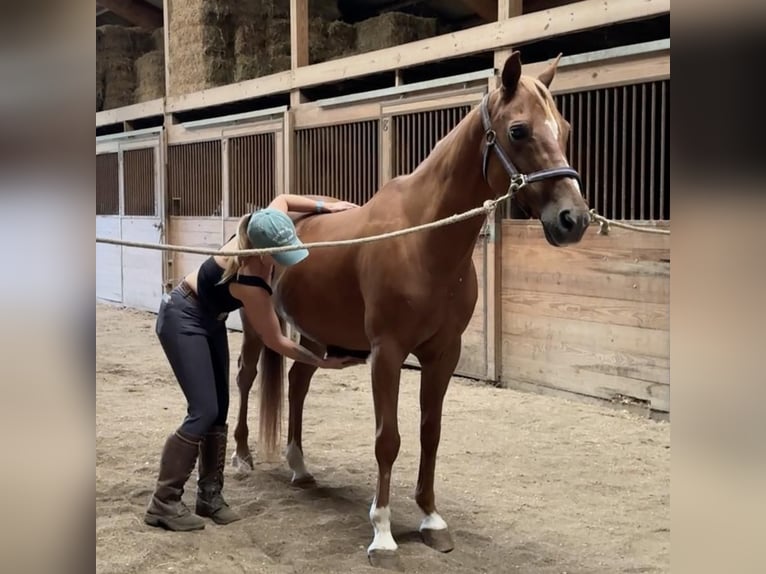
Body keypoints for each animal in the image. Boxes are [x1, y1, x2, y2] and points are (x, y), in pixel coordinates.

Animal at [231, 53, 592, 572]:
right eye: (519, 130)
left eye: (563, 128)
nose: (573, 220)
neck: (423, 238)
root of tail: (265, 215)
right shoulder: (388, 354)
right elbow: (389, 439)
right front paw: (382, 534)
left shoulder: (443, 355)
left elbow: (430, 433)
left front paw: (431, 519)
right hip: (255, 327)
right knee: (245, 377)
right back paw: (241, 457)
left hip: (314, 334)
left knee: (297, 384)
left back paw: (300, 468)